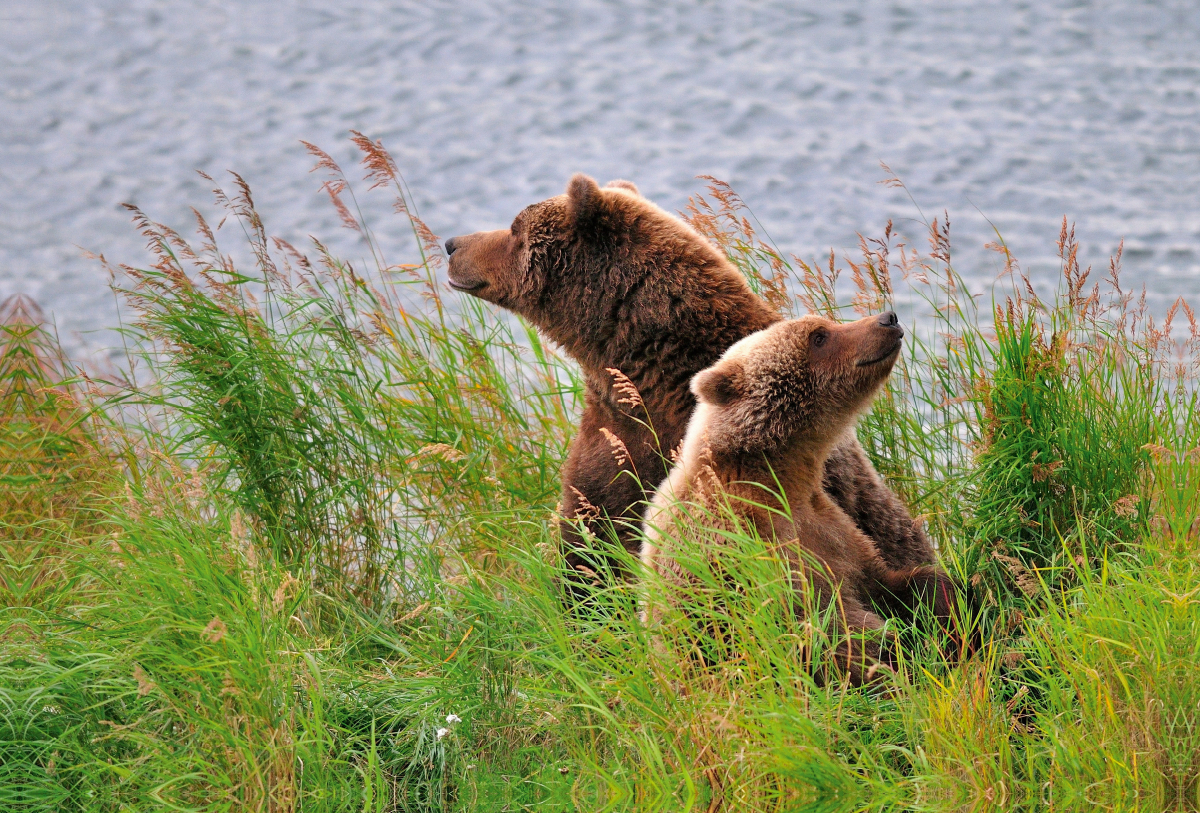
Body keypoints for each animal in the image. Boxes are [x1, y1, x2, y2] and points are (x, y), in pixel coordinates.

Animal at [643, 314, 960, 685]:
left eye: (825, 324)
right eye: (818, 337)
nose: (887, 319)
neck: (779, 478)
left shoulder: (833, 527)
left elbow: (890, 582)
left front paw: (952, 605)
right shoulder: (747, 551)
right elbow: (833, 629)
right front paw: (901, 654)